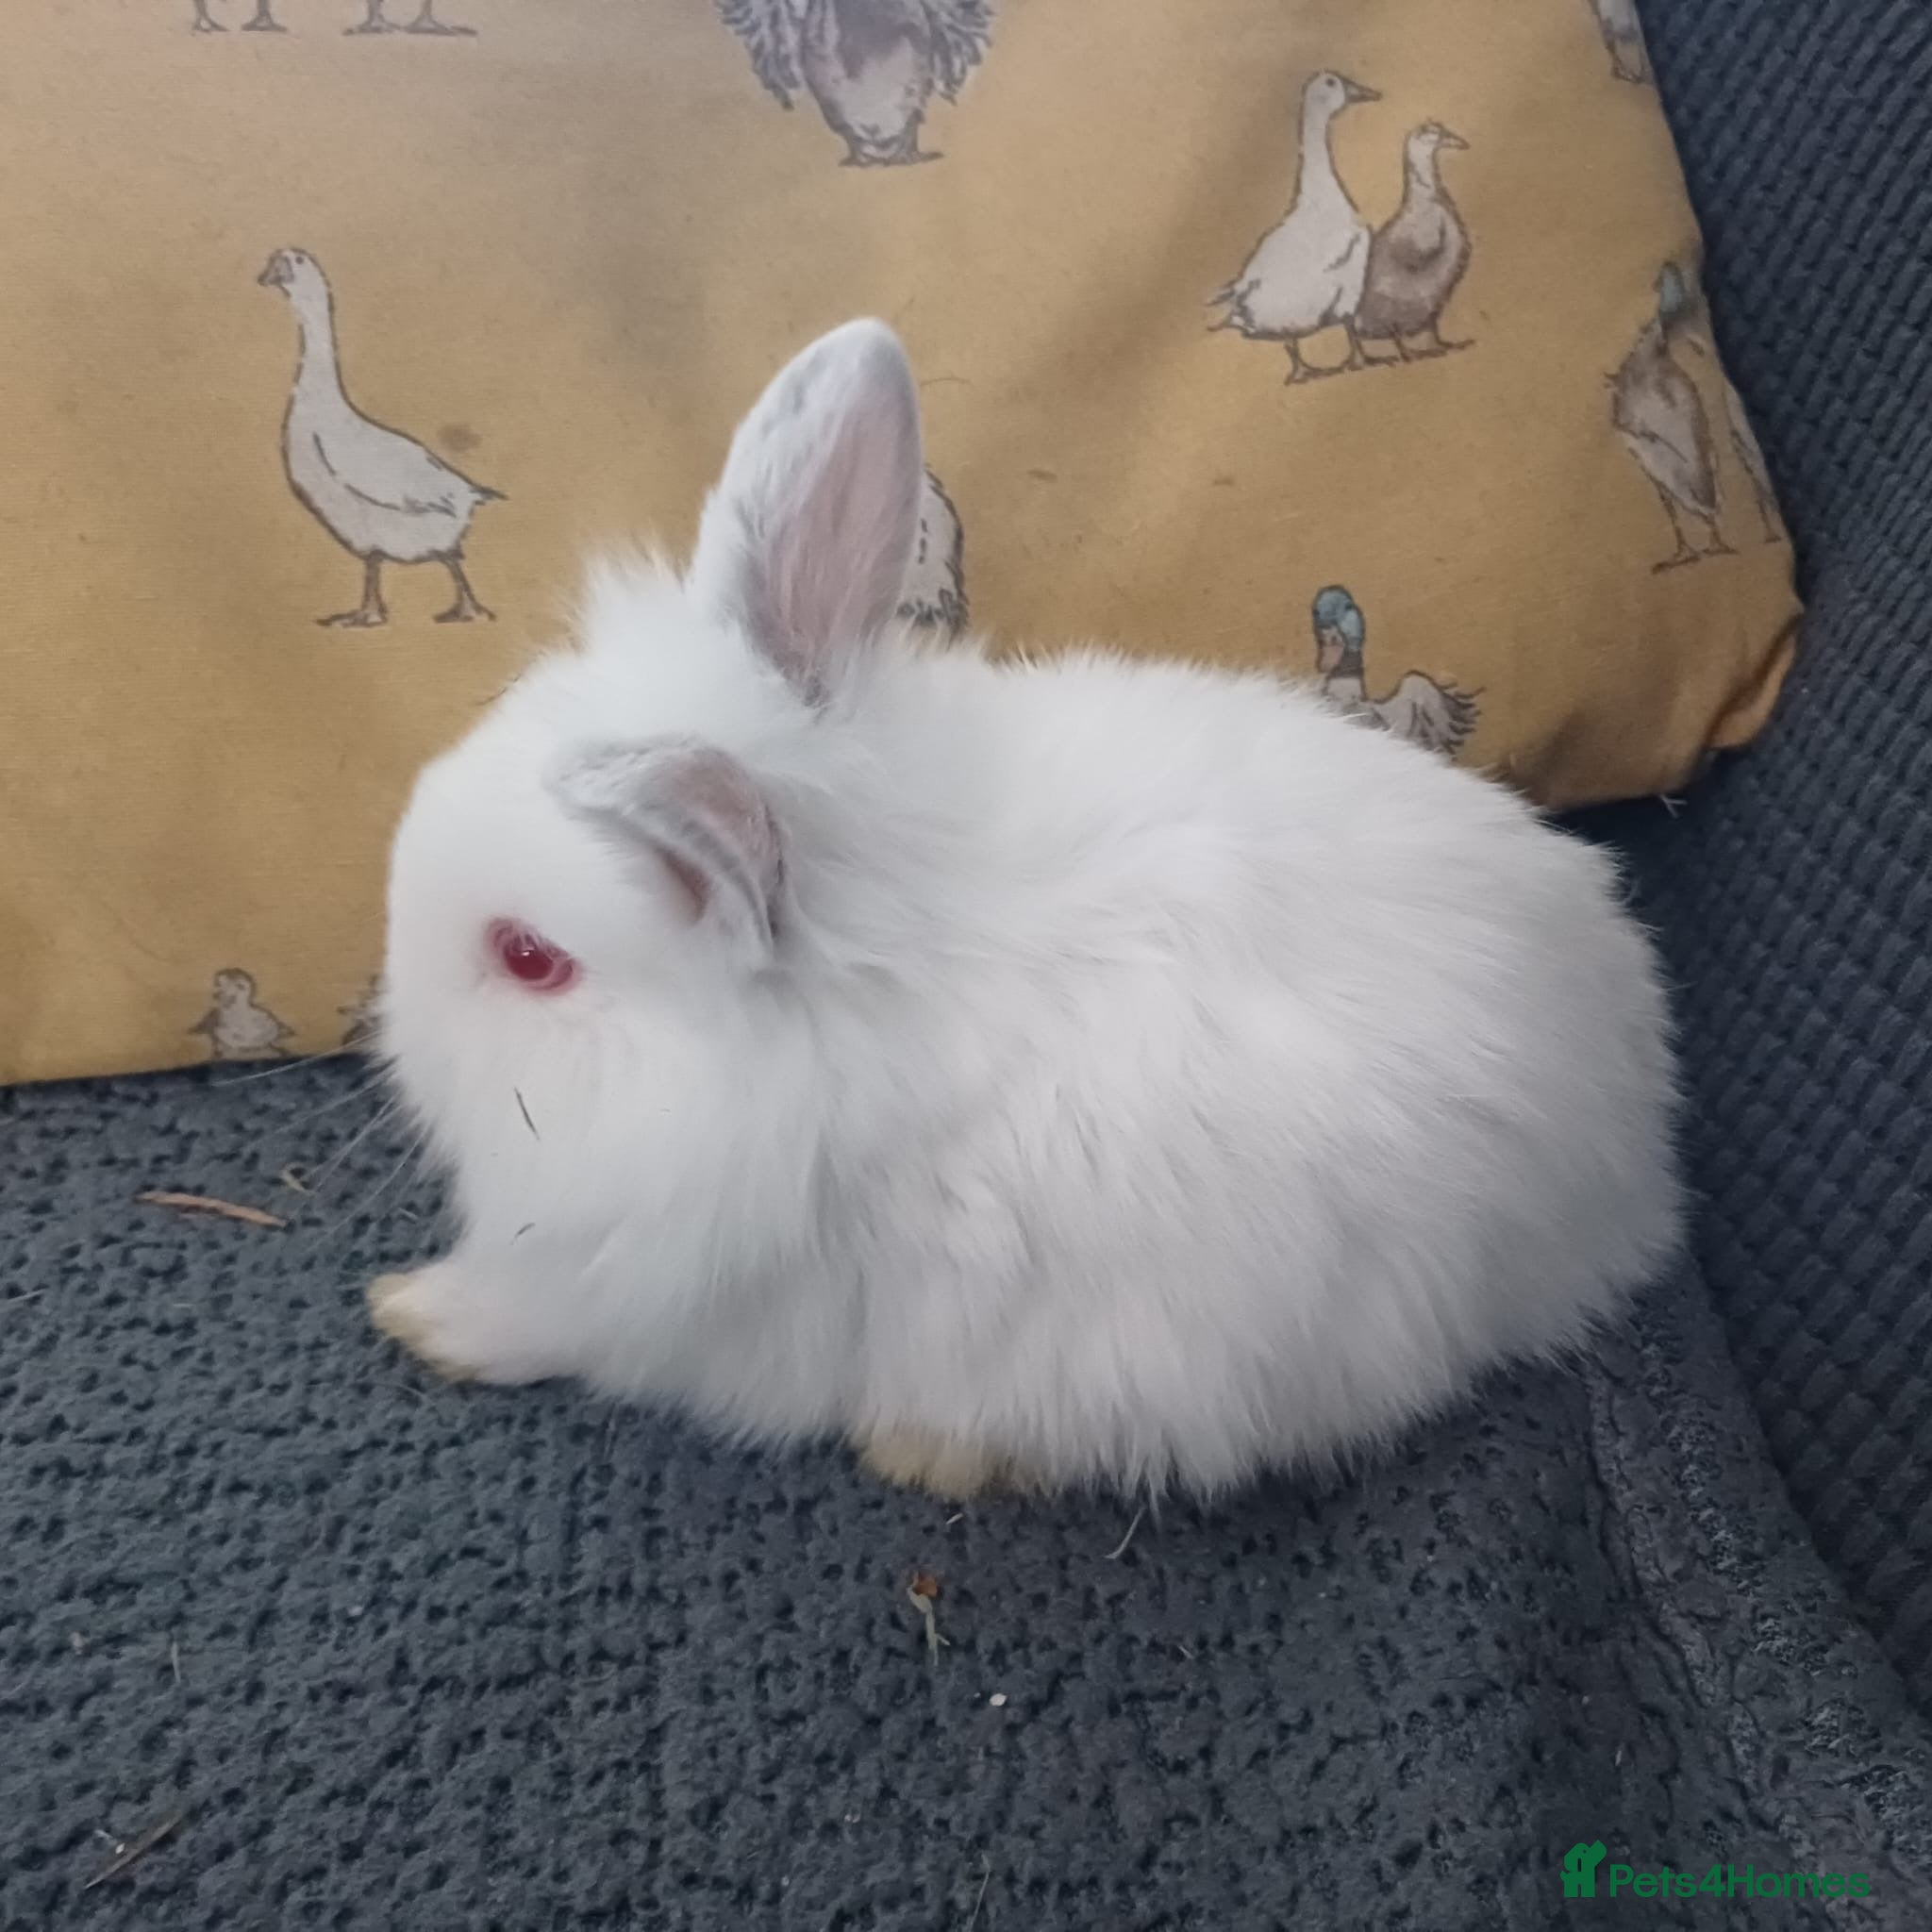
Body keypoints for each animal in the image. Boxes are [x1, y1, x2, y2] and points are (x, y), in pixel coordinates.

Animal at [369, 318, 1683, 1500]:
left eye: (529, 956)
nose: (393, 1022)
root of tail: (1631, 1174)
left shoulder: (645, 1289)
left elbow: (537, 1316)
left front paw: (415, 1312)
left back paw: (927, 1448)